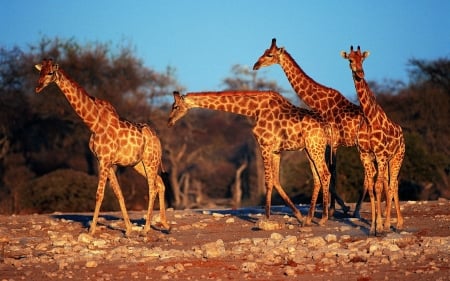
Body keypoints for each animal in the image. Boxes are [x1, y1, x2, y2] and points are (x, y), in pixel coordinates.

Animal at [34, 59, 170, 236]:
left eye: (50, 73)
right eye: (40, 72)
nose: (37, 87)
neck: (93, 123)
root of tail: (158, 139)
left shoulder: (105, 161)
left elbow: (99, 194)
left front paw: (91, 230)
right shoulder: (106, 161)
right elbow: (118, 193)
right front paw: (128, 229)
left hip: (150, 161)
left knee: (152, 188)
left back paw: (146, 228)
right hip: (139, 164)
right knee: (159, 182)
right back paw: (164, 224)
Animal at [253, 38, 370, 215]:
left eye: (270, 54)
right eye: (264, 52)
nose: (255, 65)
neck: (319, 102)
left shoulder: (333, 142)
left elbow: (332, 171)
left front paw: (334, 208)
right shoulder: (328, 142)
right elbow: (329, 172)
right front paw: (334, 207)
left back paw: (357, 210)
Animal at [342, 46, 404, 234]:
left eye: (362, 59)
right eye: (350, 60)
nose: (360, 73)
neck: (369, 118)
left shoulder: (381, 154)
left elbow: (377, 187)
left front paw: (380, 227)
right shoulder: (365, 155)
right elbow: (370, 186)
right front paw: (372, 228)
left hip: (397, 157)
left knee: (391, 185)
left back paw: (392, 224)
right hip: (387, 160)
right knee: (391, 183)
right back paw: (395, 223)